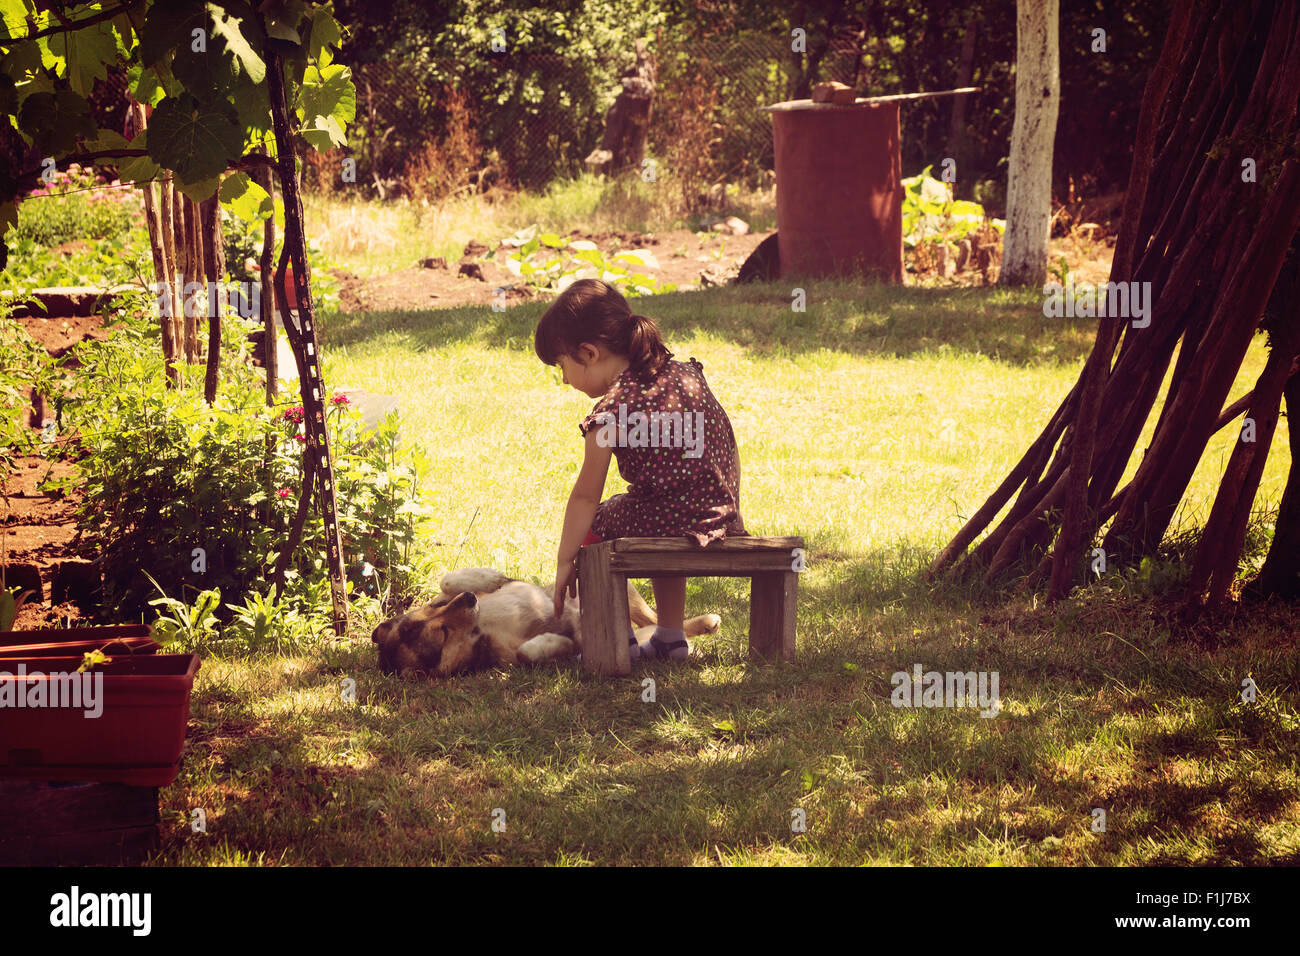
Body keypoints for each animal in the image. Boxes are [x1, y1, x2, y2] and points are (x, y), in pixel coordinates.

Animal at [371, 567, 728, 681]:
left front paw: (488, 577)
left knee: (658, 618)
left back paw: (705, 622)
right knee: (657, 632)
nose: (470, 599)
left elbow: (448, 578)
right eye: (442, 633)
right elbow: (530, 652)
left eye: (435, 612)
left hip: (625, 593)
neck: (481, 628)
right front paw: (559, 642)